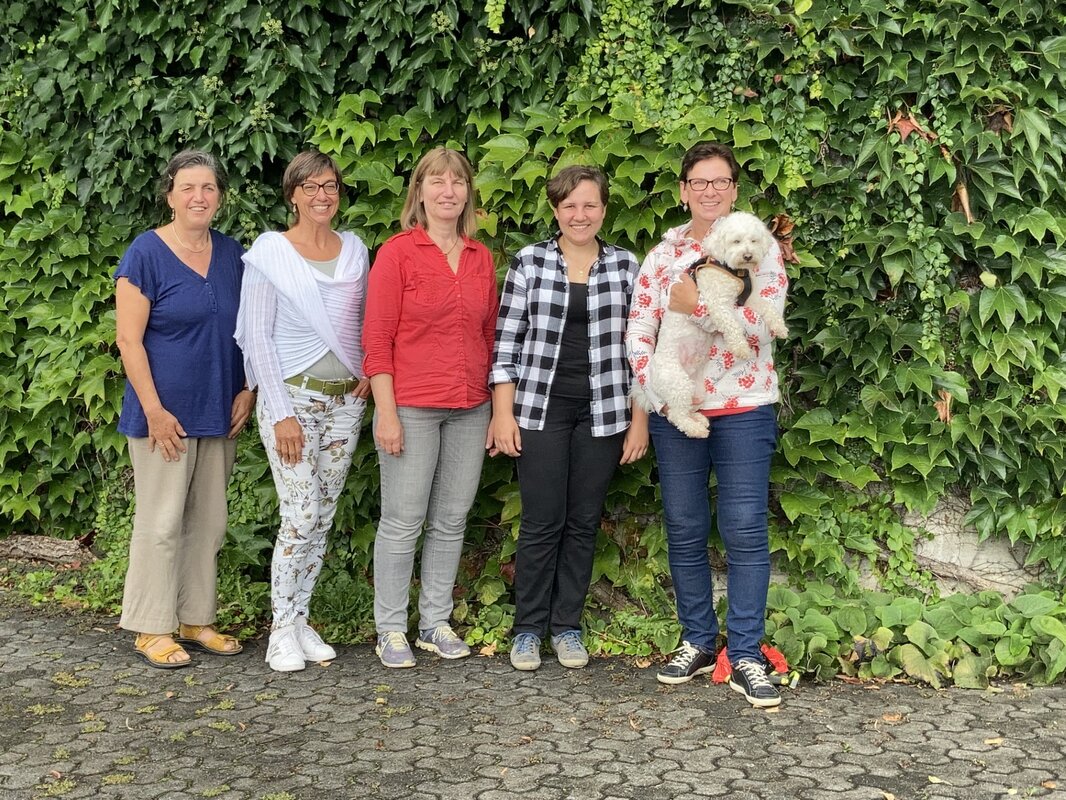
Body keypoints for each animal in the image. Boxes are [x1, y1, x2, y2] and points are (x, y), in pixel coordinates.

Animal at [635, 213, 788, 439]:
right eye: (736, 241)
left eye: (754, 240)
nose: (748, 255)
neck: (733, 270)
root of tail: (652, 376)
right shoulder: (717, 303)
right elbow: (732, 324)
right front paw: (741, 347)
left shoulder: (750, 300)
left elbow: (768, 307)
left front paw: (780, 327)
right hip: (677, 382)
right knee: (676, 416)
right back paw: (696, 429)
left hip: (696, 390)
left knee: (684, 409)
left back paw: (698, 419)